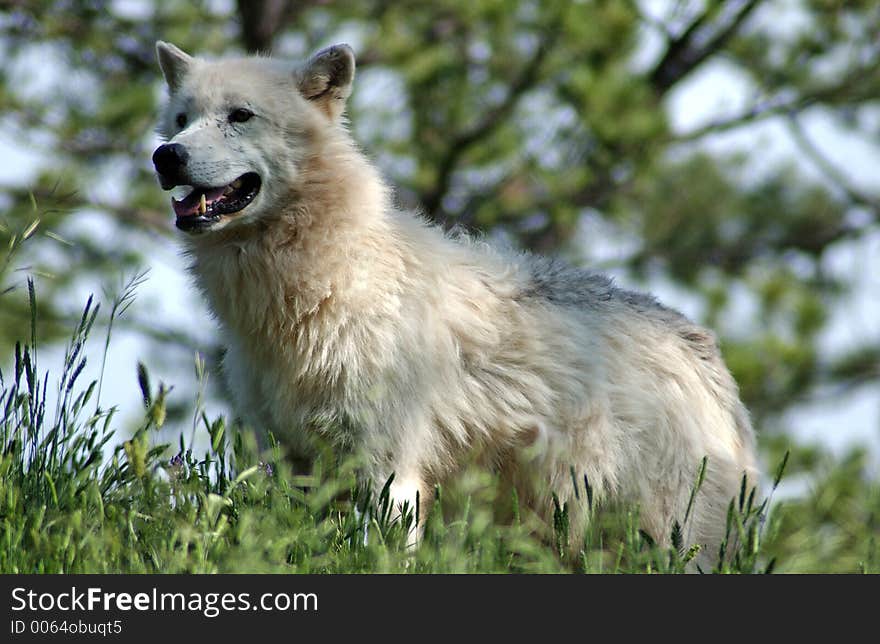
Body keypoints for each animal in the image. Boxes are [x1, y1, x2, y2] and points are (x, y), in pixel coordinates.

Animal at [155, 41, 760, 564]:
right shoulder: (291, 462)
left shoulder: (389, 470)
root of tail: (704, 352)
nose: (166, 155)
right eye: (182, 118)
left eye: (240, 115)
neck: (321, 287)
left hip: (662, 537)